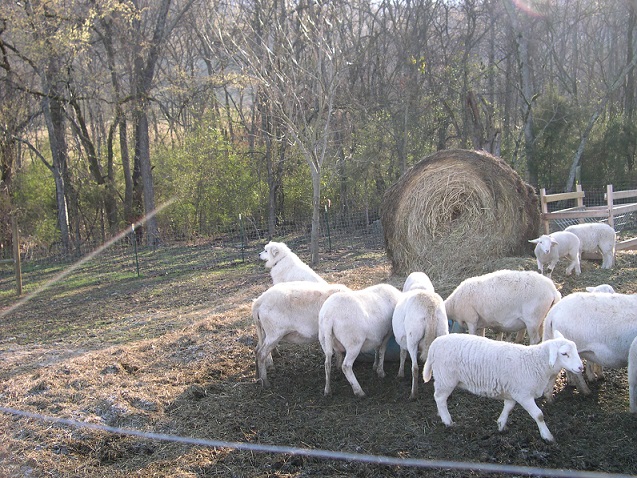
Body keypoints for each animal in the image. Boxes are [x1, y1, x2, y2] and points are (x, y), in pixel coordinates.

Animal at [422, 330, 580, 442]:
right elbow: (539, 415)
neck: (536, 362)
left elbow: (508, 407)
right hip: (446, 378)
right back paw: (447, 421)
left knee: (439, 398)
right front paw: (547, 436)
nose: (581, 367)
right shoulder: (524, 395)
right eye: (564, 354)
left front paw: (501, 425)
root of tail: (435, 344)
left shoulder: (513, 392)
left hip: (444, 379)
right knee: (439, 398)